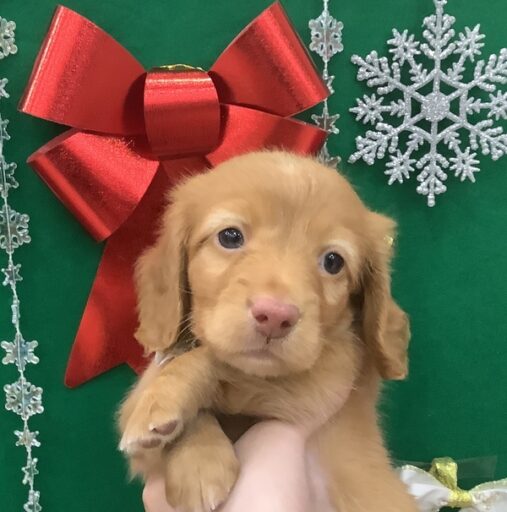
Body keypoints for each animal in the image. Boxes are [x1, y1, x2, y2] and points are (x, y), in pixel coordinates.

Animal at [118, 151, 417, 512]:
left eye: (333, 261)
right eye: (230, 237)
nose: (275, 317)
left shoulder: (326, 383)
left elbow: (218, 362)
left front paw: (164, 403)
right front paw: (197, 462)